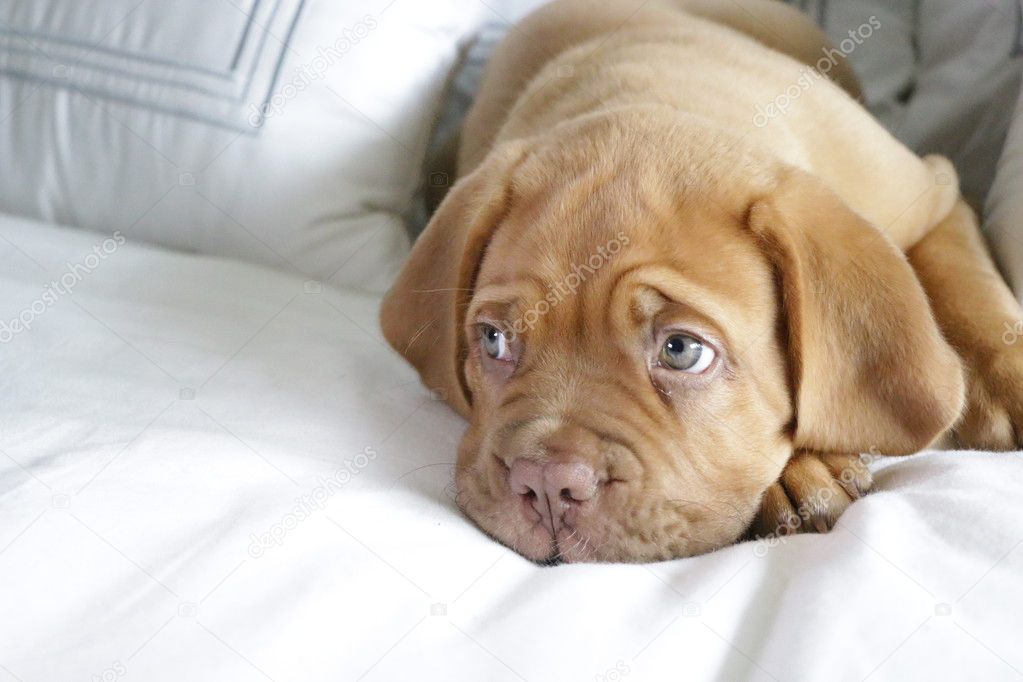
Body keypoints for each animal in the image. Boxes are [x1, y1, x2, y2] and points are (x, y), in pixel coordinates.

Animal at [378, 0, 1023, 564]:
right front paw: (796, 475)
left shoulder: (935, 193)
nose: (546, 483)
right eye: (492, 340)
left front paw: (1009, 380)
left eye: (682, 351)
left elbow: (965, 279)